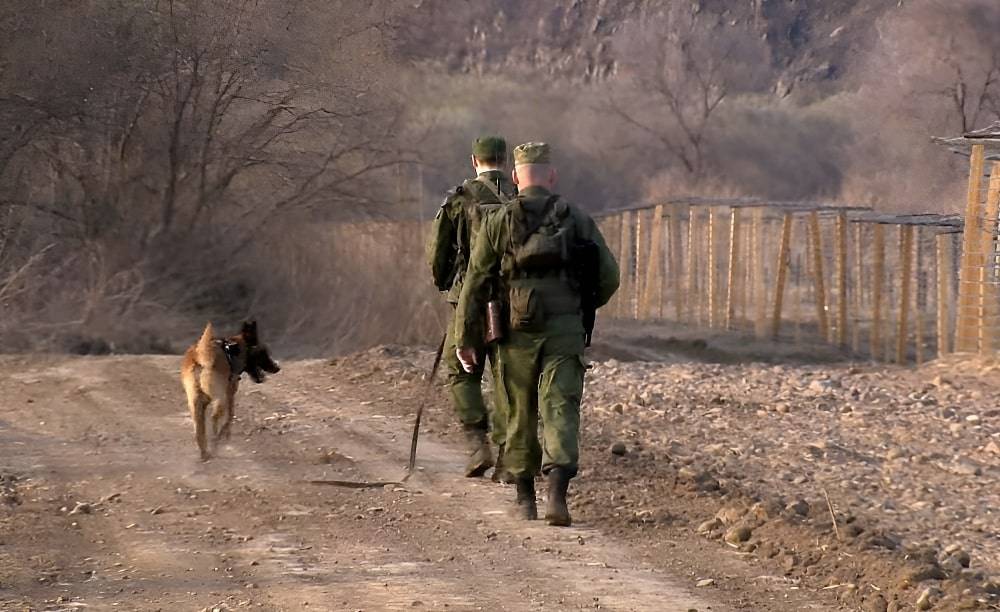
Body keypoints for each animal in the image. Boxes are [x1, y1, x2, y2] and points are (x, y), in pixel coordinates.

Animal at [181, 320, 280, 460]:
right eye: (263, 352)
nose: (277, 367)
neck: (233, 351)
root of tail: (200, 356)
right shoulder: (230, 394)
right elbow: (230, 416)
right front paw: (226, 434)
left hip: (195, 404)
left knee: (199, 431)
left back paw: (205, 453)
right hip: (220, 398)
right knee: (214, 418)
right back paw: (216, 441)